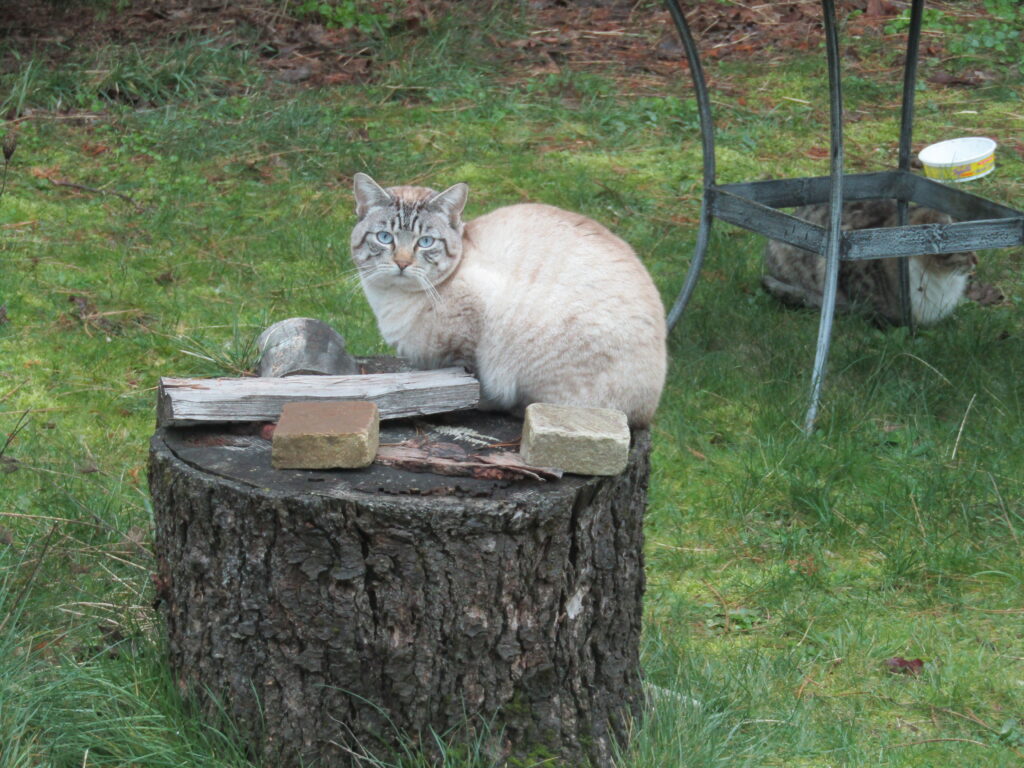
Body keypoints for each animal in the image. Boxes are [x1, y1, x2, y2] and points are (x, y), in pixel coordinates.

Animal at [352, 171, 667, 430]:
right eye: (384, 238)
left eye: (425, 243)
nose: (402, 263)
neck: (391, 301)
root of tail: (648, 413)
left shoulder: (468, 336)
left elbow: (461, 384)